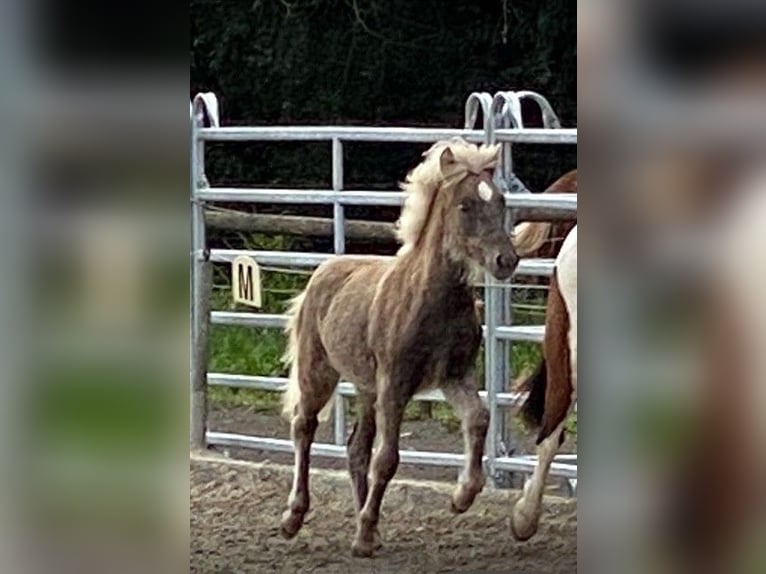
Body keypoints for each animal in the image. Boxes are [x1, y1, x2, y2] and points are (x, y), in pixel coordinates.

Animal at [278, 138, 519, 557]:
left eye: (501, 200)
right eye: (465, 205)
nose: (505, 260)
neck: (431, 299)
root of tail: (322, 272)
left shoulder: (454, 376)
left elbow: (478, 418)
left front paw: (462, 496)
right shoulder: (395, 384)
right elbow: (388, 458)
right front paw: (362, 534)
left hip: (365, 387)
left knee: (356, 449)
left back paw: (370, 531)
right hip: (318, 371)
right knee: (304, 428)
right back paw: (295, 517)